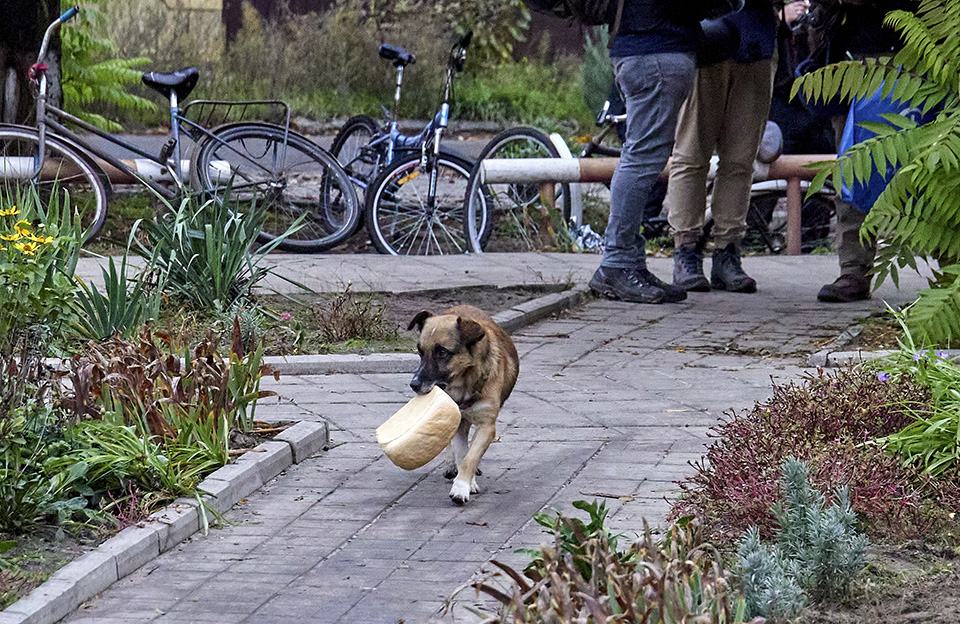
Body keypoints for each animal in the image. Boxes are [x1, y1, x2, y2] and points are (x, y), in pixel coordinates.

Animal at [408, 304, 520, 504]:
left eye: (442, 352)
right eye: (420, 352)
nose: (414, 385)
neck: (466, 384)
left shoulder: (487, 426)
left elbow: (471, 456)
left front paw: (462, 486)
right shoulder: (459, 422)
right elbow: (462, 455)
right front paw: (464, 483)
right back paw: (451, 466)